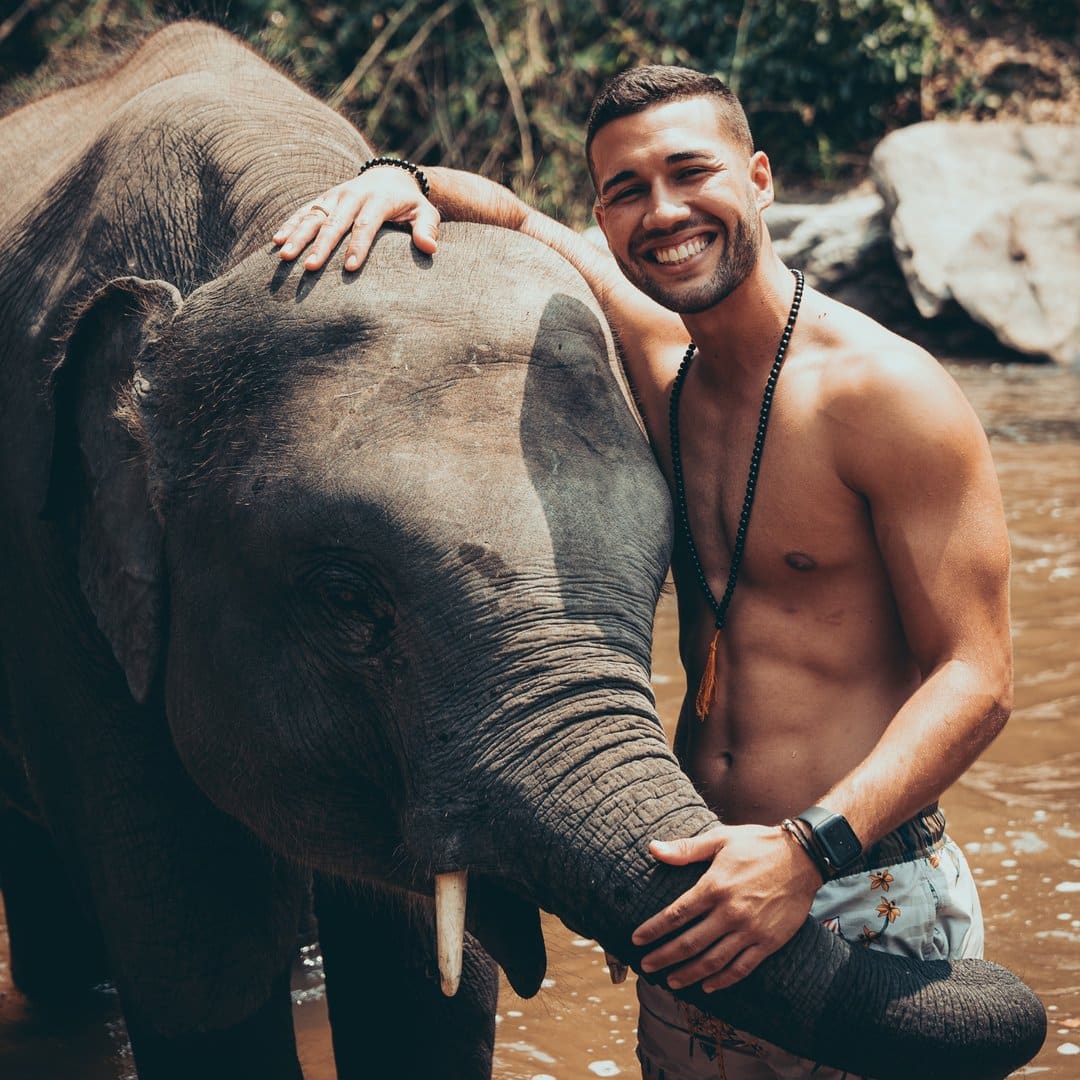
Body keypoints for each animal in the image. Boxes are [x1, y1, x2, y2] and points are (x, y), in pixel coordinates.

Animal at [0, 16, 1045, 1080]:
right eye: (346, 599)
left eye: (657, 575)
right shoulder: (50, 577)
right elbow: (199, 949)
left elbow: (426, 989)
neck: (273, 218)